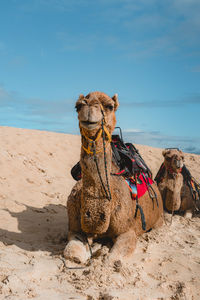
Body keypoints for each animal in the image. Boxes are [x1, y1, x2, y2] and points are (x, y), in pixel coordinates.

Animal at [64, 91, 164, 264]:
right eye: (77, 106)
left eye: (110, 106)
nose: (88, 107)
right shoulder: (74, 228)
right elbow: (71, 254)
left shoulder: (128, 231)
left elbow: (113, 260)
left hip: (159, 217)